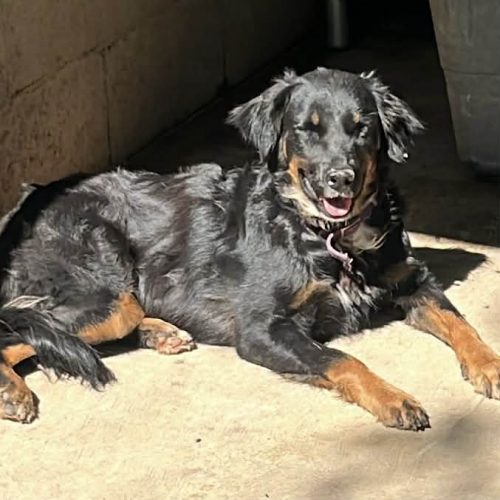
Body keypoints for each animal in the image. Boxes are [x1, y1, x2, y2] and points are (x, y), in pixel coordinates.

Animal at [1, 67, 499, 431]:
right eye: (307, 130)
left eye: (362, 129)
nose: (341, 178)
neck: (327, 235)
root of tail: (28, 202)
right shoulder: (263, 328)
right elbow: (344, 359)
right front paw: (394, 398)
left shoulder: (411, 281)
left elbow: (462, 324)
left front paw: (490, 366)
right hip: (106, 294)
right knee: (21, 327)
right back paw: (13, 391)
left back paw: (161, 331)